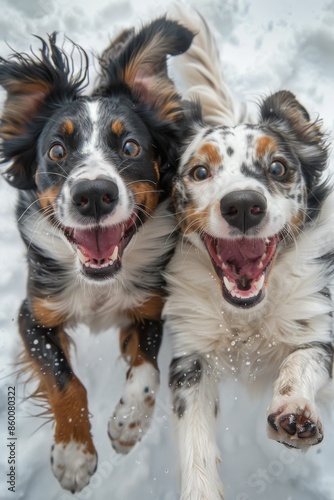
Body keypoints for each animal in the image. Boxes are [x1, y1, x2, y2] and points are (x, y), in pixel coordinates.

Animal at [0, 18, 193, 492]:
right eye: (56, 150)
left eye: (130, 147)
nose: (92, 195)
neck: (98, 285)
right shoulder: (33, 315)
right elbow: (65, 380)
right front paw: (74, 455)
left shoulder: (150, 306)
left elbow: (147, 369)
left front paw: (128, 424)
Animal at [164, 7, 334, 500]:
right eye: (199, 171)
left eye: (277, 168)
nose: (242, 204)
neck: (246, 319)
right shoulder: (191, 356)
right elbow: (195, 437)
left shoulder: (319, 324)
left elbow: (302, 358)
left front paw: (295, 410)